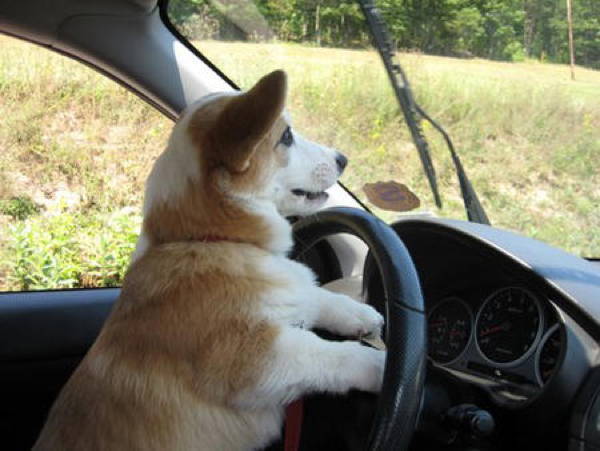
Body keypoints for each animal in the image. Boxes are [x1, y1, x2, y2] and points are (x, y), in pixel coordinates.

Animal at [35, 70, 386, 451]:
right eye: (287, 136)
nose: (343, 159)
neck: (207, 237)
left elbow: (317, 295)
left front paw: (361, 314)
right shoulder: (257, 361)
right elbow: (329, 355)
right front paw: (383, 364)